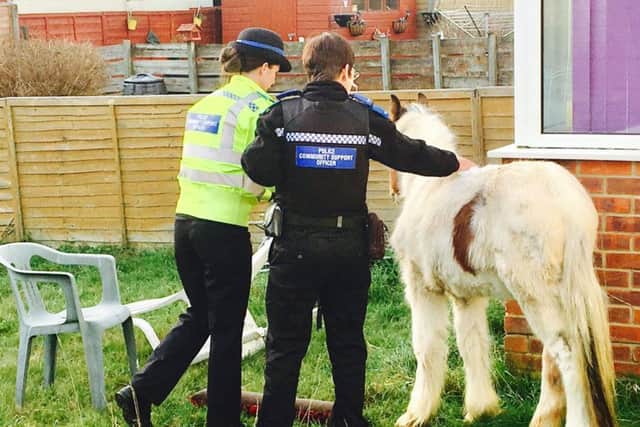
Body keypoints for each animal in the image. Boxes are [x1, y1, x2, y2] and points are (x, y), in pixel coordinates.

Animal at [387, 94, 616, 427]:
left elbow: (427, 348)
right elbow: (472, 344)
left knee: (566, 353)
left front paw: (416, 414)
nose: (392, 190)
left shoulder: (423, 290)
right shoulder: (467, 298)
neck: (430, 188)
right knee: (553, 356)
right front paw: (480, 409)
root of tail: (567, 204)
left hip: (536, 297)